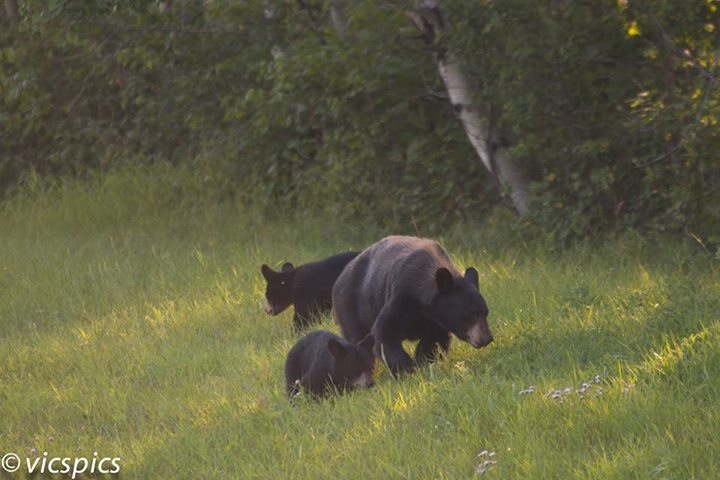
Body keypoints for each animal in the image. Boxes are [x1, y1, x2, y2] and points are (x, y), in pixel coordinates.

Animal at [332, 235, 492, 375]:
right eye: (470, 314)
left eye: (485, 312)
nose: (486, 338)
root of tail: (340, 278)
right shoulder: (401, 297)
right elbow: (385, 331)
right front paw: (408, 369)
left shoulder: (437, 318)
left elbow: (434, 339)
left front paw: (424, 363)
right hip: (352, 307)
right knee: (357, 337)